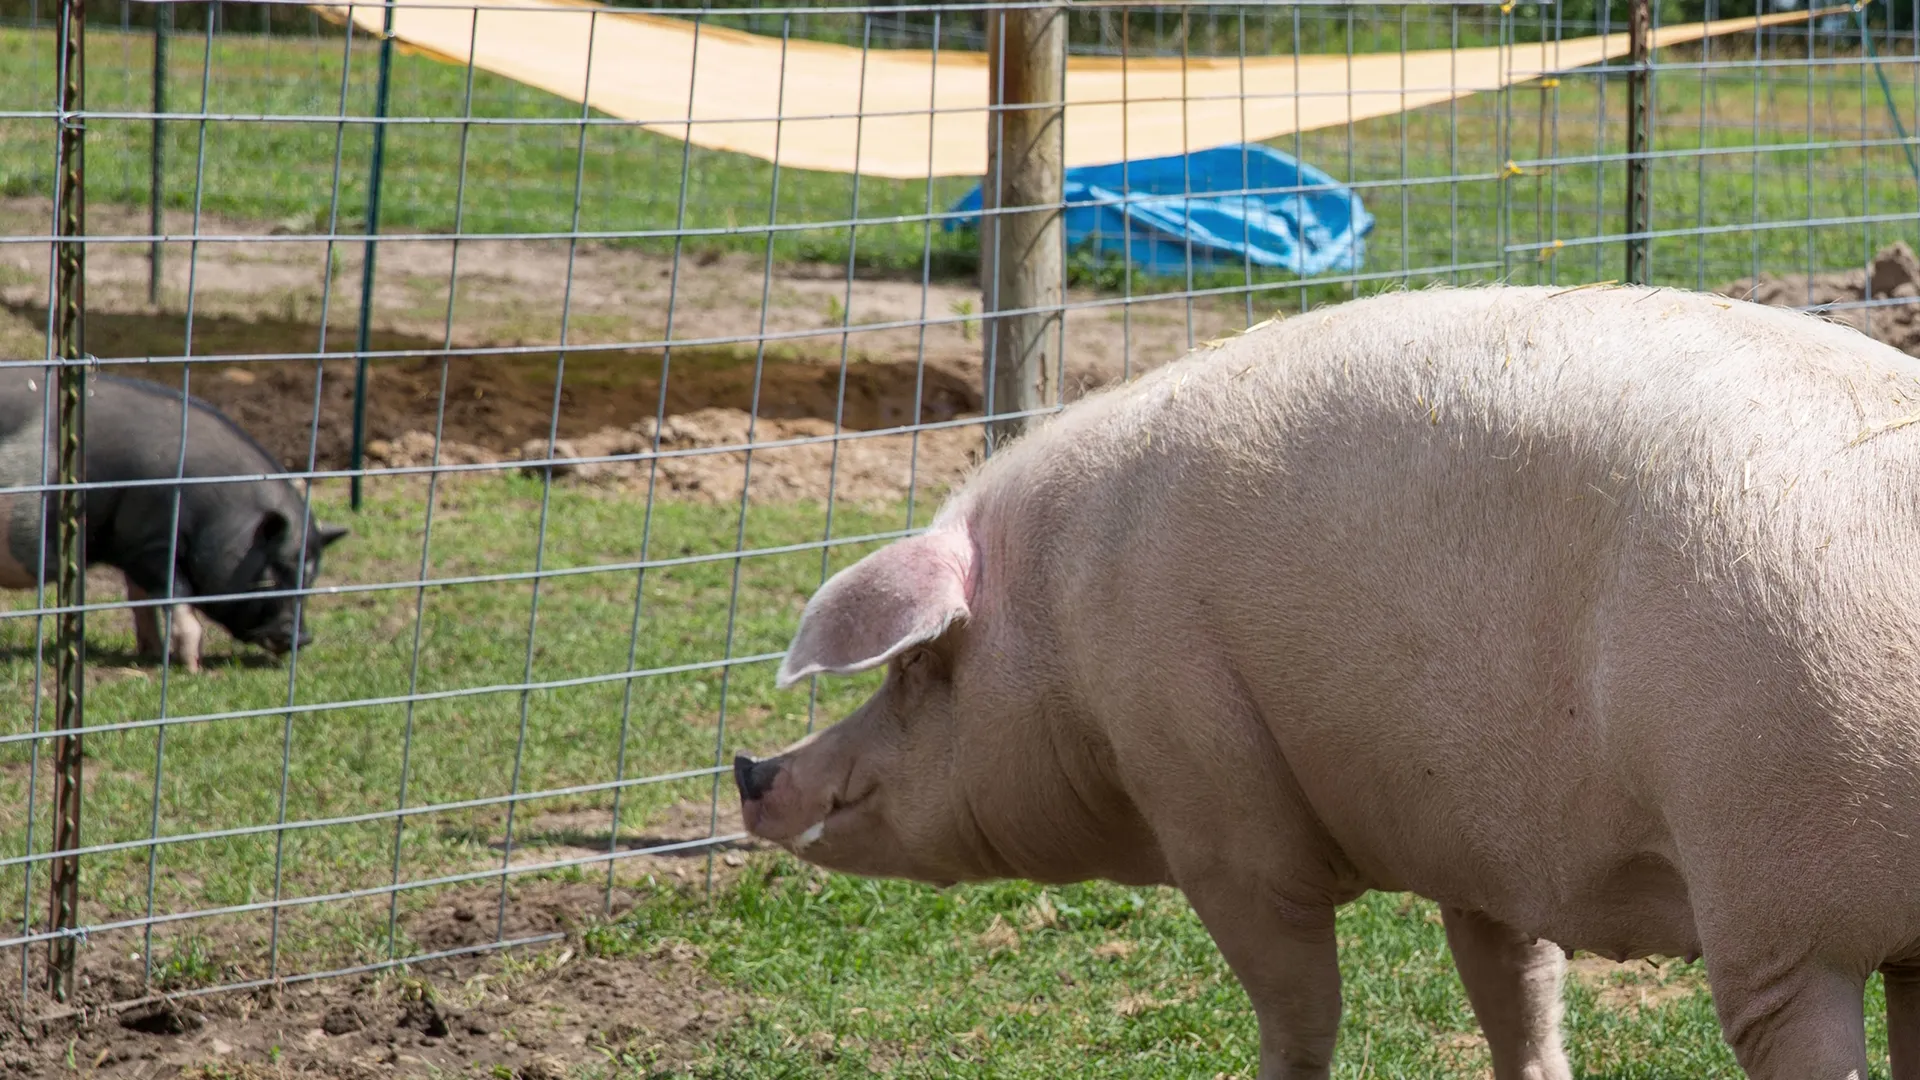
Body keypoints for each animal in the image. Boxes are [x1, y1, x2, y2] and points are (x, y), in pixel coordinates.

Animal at [0, 370, 347, 671]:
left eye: (310, 579)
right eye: (272, 574)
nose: (301, 638)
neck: (215, 512)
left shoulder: (133, 545)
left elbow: (141, 600)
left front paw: (152, 653)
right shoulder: (154, 543)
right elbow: (176, 596)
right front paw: (193, 668)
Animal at [734, 283, 1920, 1079]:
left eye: (917, 666)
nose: (751, 770)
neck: (1058, 623)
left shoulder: (1213, 807)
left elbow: (1298, 1008)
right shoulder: (1475, 842)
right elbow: (1517, 992)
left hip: (1774, 895)